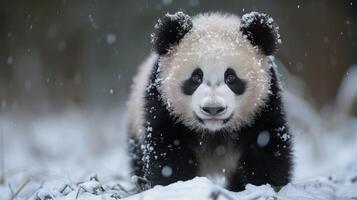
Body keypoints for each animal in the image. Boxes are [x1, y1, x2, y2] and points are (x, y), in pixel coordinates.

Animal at [128, 11, 292, 192]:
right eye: (196, 77)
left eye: (231, 77)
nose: (213, 109)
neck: (215, 133)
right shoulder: (162, 104)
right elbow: (168, 150)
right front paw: (177, 185)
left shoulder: (264, 104)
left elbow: (266, 144)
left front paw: (263, 186)